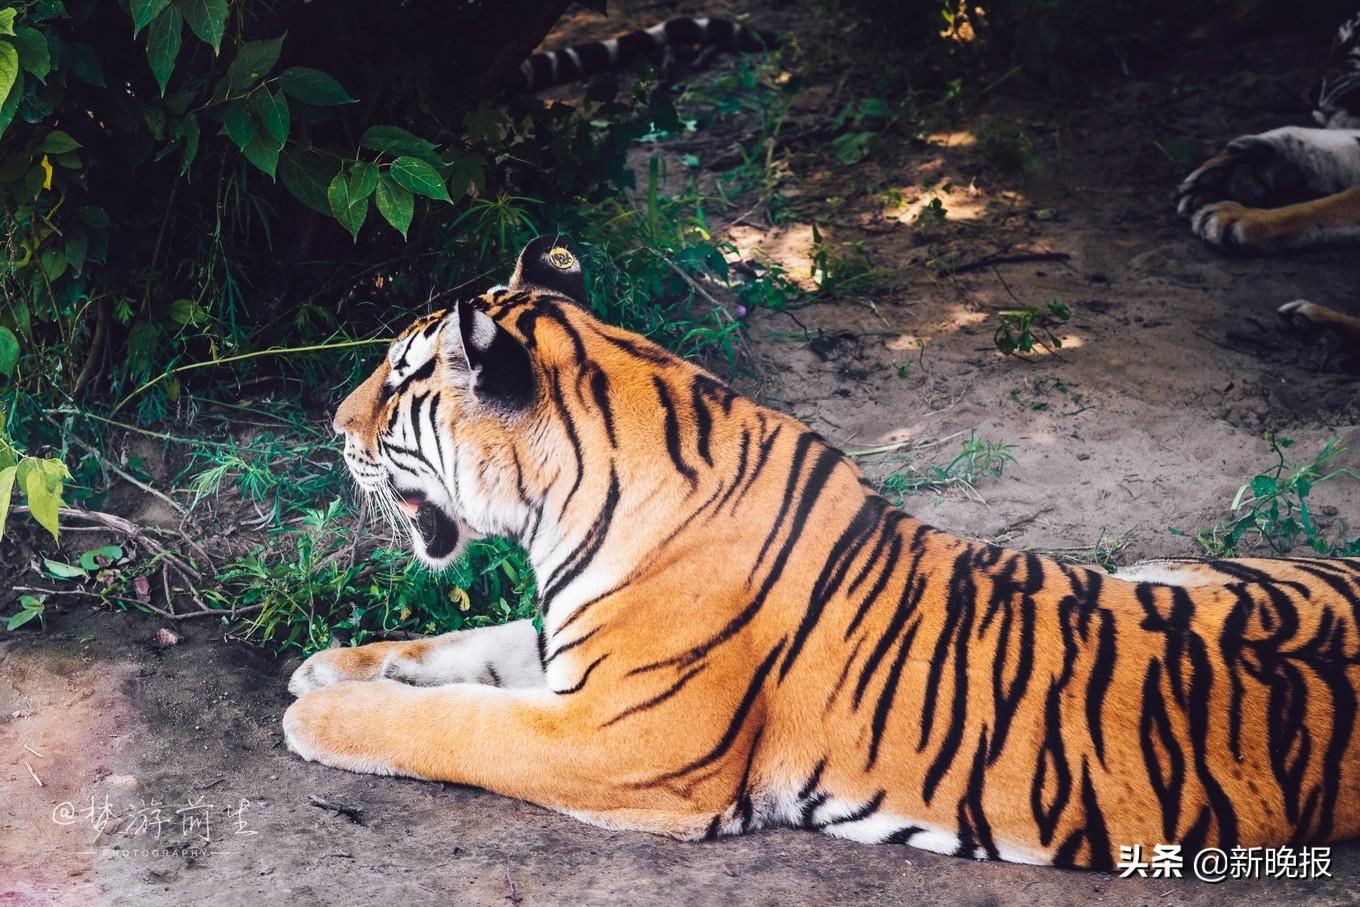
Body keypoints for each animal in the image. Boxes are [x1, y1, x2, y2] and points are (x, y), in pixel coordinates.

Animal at [281, 236, 1354, 870]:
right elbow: (466, 646)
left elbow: (454, 722)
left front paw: (320, 714)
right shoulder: (573, 658)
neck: (567, 508)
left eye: (398, 380)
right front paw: (327, 666)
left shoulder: (619, 739)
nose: (332, 426)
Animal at [1175, 7, 1354, 353]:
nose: (1308, 95)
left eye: (1351, 42)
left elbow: (1331, 204)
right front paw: (1237, 168)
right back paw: (1319, 327)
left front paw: (1237, 215)